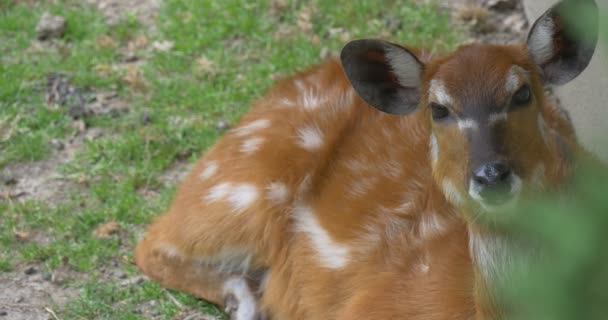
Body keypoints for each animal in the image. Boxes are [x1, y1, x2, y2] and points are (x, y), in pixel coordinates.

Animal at [133, 1, 600, 318]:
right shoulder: (371, 305)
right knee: (151, 242)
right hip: (243, 187)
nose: (491, 175)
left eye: (522, 93)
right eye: (439, 109)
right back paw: (245, 298)